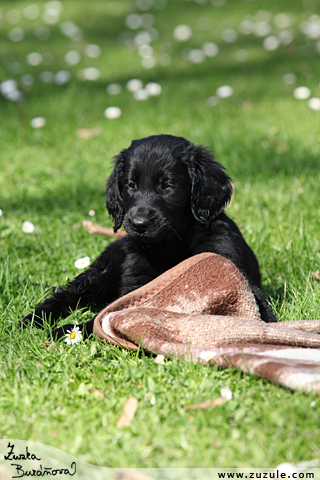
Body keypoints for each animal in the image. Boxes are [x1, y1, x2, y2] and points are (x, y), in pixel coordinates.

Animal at [21, 133, 278, 340]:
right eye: (130, 185)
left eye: (167, 186)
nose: (139, 224)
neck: (170, 243)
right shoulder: (135, 284)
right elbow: (104, 316)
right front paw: (67, 330)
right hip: (104, 273)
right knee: (68, 293)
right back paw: (33, 319)